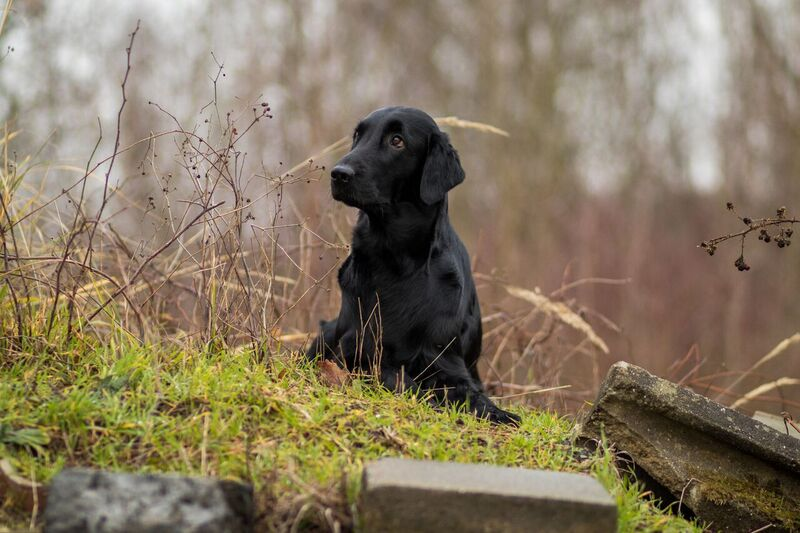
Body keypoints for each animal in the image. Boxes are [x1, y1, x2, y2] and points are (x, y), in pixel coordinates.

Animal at [306, 107, 520, 424]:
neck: (398, 260)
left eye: (397, 140)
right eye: (358, 136)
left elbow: (472, 394)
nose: (338, 173)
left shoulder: (446, 360)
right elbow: (399, 379)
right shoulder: (357, 348)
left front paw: (499, 413)